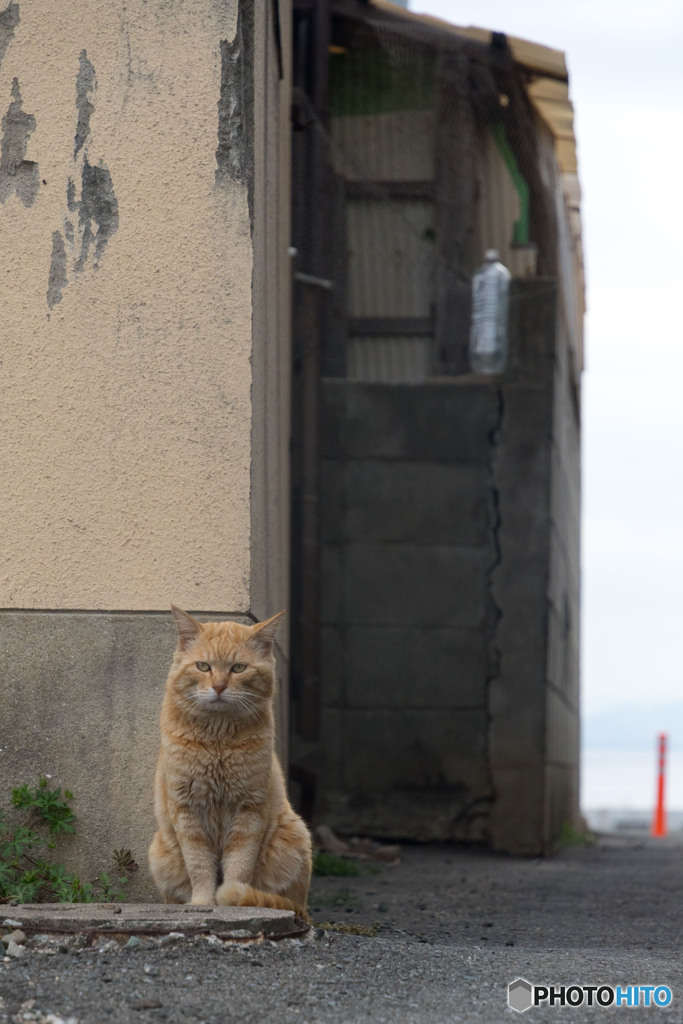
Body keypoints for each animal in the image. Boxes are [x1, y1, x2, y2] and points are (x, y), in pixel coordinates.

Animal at [149, 606, 313, 921]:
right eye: (203, 666)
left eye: (238, 668)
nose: (219, 686)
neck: (218, 741)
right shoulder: (187, 811)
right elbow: (199, 865)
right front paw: (203, 902)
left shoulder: (249, 810)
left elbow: (239, 864)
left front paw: (231, 904)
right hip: (159, 851)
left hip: (294, 836)